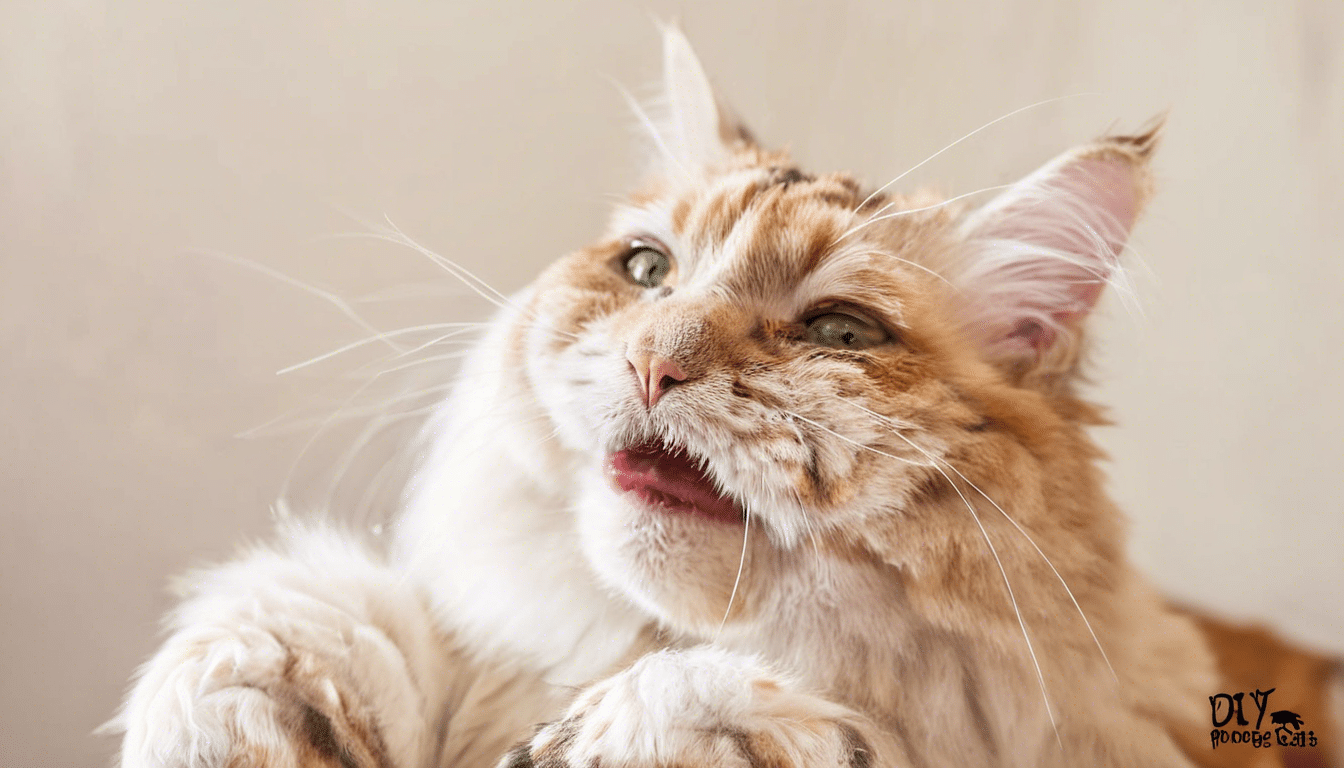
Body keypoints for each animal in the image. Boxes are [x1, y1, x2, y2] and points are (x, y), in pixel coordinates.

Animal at [107, 25, 1344, 768]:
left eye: (839, 333)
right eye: (648, 269)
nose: (656, 361)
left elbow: (695, 717)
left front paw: (674, 720)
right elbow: (296, 616)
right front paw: (247, 715)